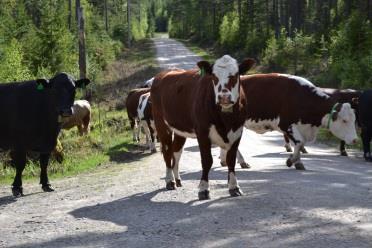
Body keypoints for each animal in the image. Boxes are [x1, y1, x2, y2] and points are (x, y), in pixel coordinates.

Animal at [151, 54, 256, 200]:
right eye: (214, 77)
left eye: (235, 75)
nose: (224, 97)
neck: (226, 119)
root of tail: (165, 73)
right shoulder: (202, 132)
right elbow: (207, 161)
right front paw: (203, 189)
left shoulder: (237, 131)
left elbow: (231, 160)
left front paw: (234, 187)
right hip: (161, 124)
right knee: (167, 151)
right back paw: (170, 181)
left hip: (180, 130)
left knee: (176, 151)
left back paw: (177, 179)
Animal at [221, 73, 358, 170]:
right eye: (344, 120)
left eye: (354, 120)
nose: (355, 140)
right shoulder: (286, 125)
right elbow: (299, 142)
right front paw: (291, 161)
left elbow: (301, 144)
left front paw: (297, 162)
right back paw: (241, 161)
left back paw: (226, 160)